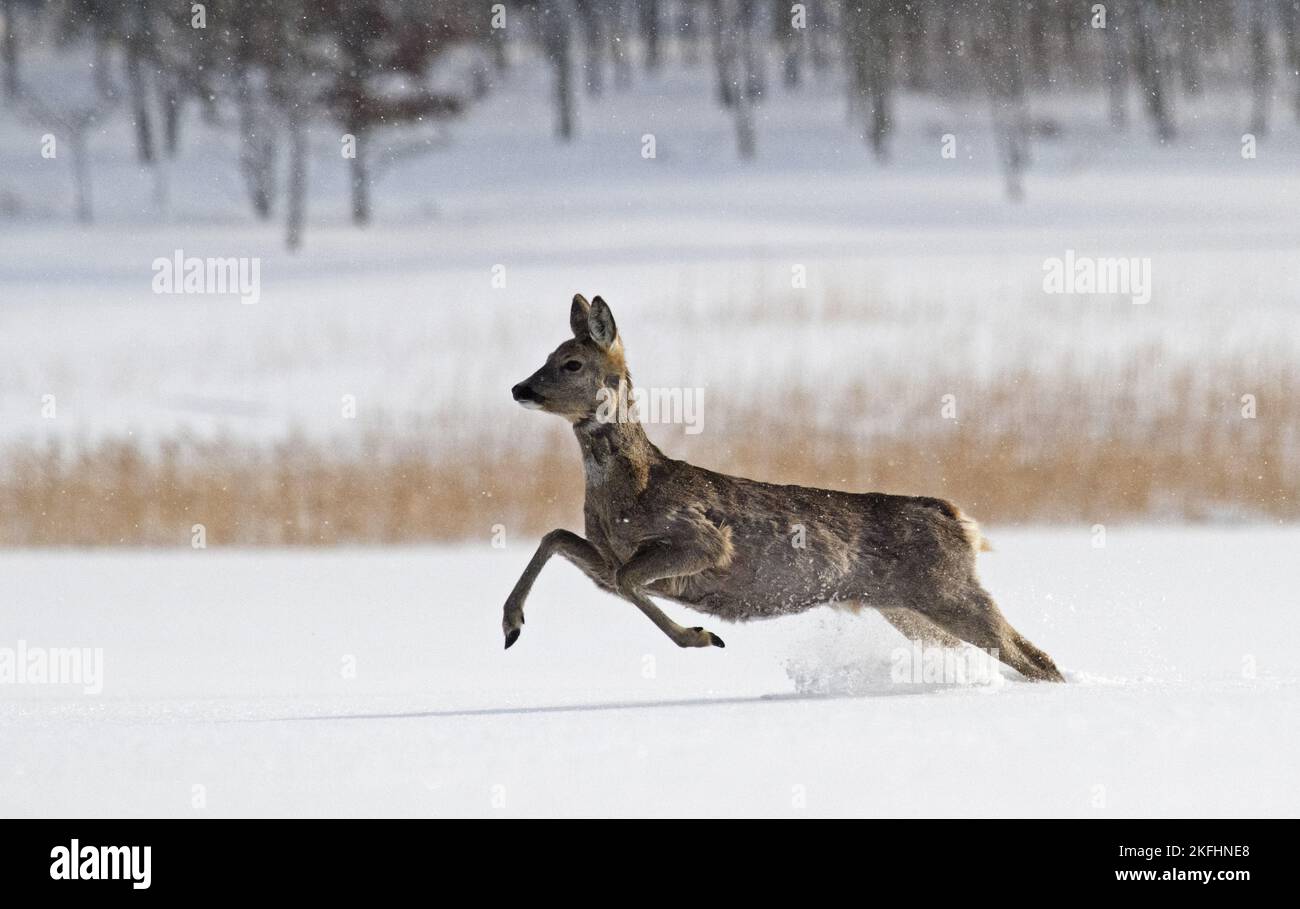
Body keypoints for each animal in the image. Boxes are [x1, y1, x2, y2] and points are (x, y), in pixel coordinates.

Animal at [501, 293, 1060, 681]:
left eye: (571, 363)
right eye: (548, 355)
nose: (519, 388)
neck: (628, 489)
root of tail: (960, 519)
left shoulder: (702, 541)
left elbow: (627, 579)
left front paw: (703, 636)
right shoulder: (606, 558)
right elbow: (558, 538)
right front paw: (511, 625)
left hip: (949, 592)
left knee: (1036, 657)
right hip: (907, 609)